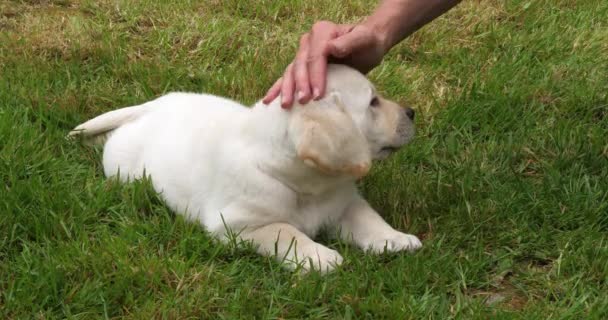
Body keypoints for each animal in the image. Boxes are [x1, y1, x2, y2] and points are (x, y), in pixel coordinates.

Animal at [71, 63, 420, 272]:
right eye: (373, 102)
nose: (412, 112)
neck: (308, 185)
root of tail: (151, 106)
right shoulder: (239, 226)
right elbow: (287, 232)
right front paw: (321, 257)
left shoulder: (345, 204)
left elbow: (368, 219)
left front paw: (395, 239)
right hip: (122, 167)